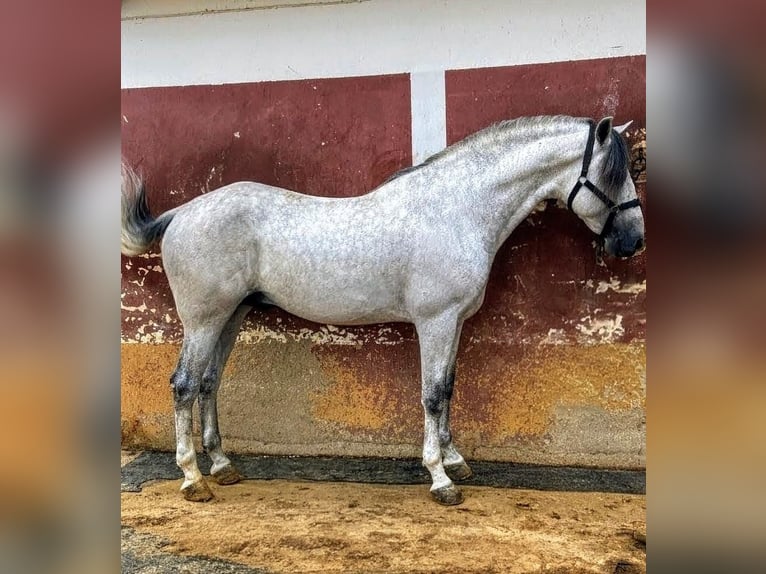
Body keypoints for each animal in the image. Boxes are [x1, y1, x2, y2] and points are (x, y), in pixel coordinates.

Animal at [121, 115, 645, 505]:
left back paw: (223, 466)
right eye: (614, 174)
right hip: (203, 321)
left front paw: (456, 461)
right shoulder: (436, 321)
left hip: (231, 317)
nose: (633, 242)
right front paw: (440, 479)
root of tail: (182, 213)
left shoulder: (454, 322)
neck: (456, 209)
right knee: (184, 385)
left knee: (209, 383)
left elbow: (448, 388)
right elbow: (431, 395)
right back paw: (193, 479)